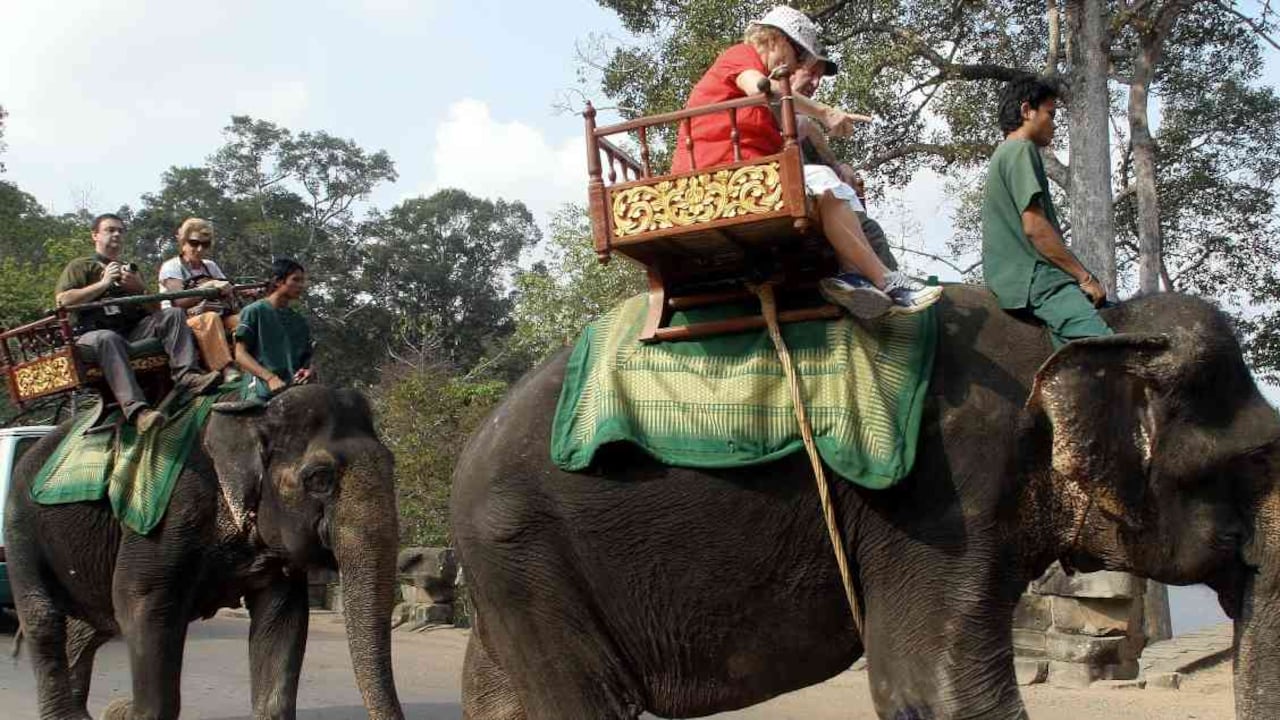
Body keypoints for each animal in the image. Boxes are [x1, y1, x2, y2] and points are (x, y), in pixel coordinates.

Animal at [5, 385, 404, 720]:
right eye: (319, 478)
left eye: (392, 465)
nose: (117, 709)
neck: (251, 414)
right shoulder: (169, 513)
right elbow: (140, 602)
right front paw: (129, 712)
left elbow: (282, 618)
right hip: (19, 525)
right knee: (45, 618)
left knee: (91, 626)